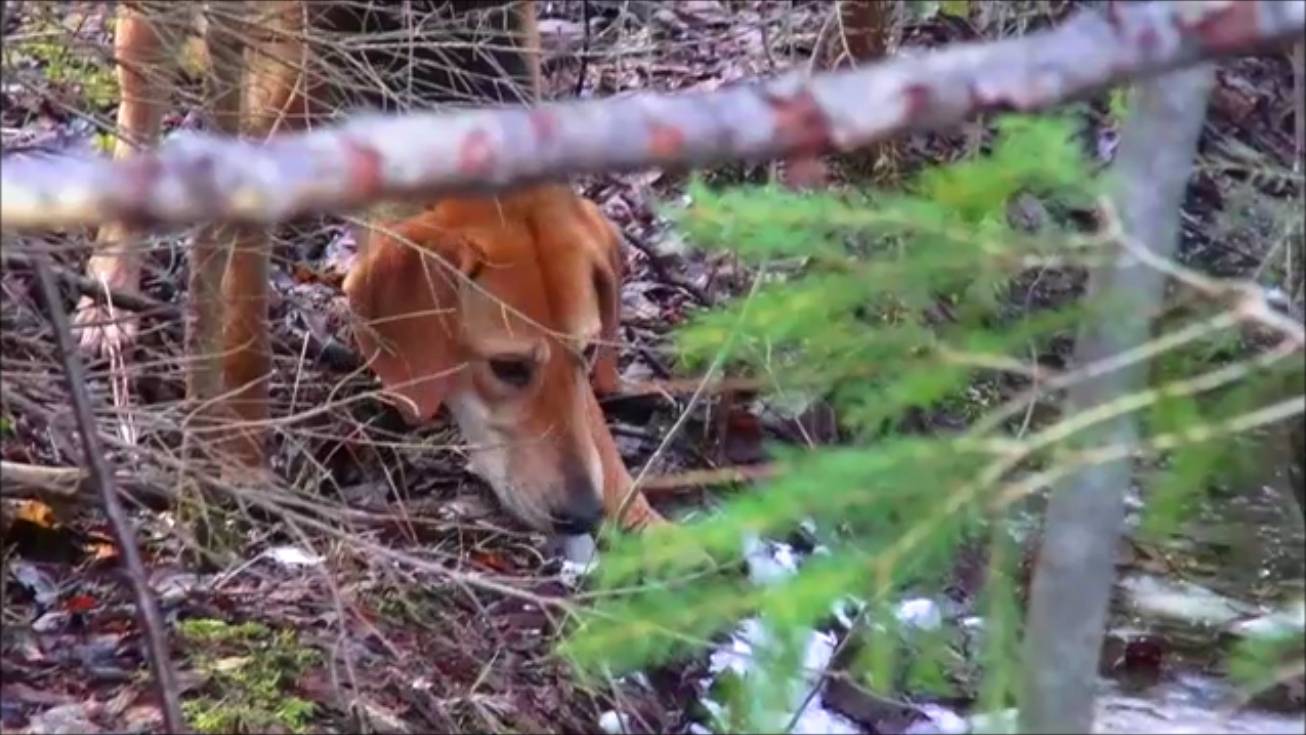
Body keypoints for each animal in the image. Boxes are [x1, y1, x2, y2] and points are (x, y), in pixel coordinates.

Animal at [74, 4, 663, 535]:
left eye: (588, 352)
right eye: (507, 367)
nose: (584, 515)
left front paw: (647, 525)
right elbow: (246, 340)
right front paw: (241, 459)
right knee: (139, 104)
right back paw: (110, 289)